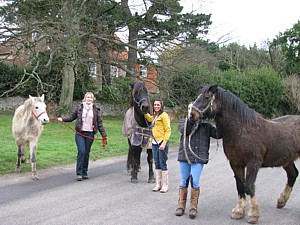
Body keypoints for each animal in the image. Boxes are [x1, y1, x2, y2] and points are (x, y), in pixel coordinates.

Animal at [190, 84, 300, 223]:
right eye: (197, 96)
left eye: (207, 97)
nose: (191, 115)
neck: (241, 130)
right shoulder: (236, 163)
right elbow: (240, 186)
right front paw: (238, 211)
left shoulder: (253, 163)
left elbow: (249, 186)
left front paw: (253, 214)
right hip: (287, 160)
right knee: (293, 175)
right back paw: (281, 201)